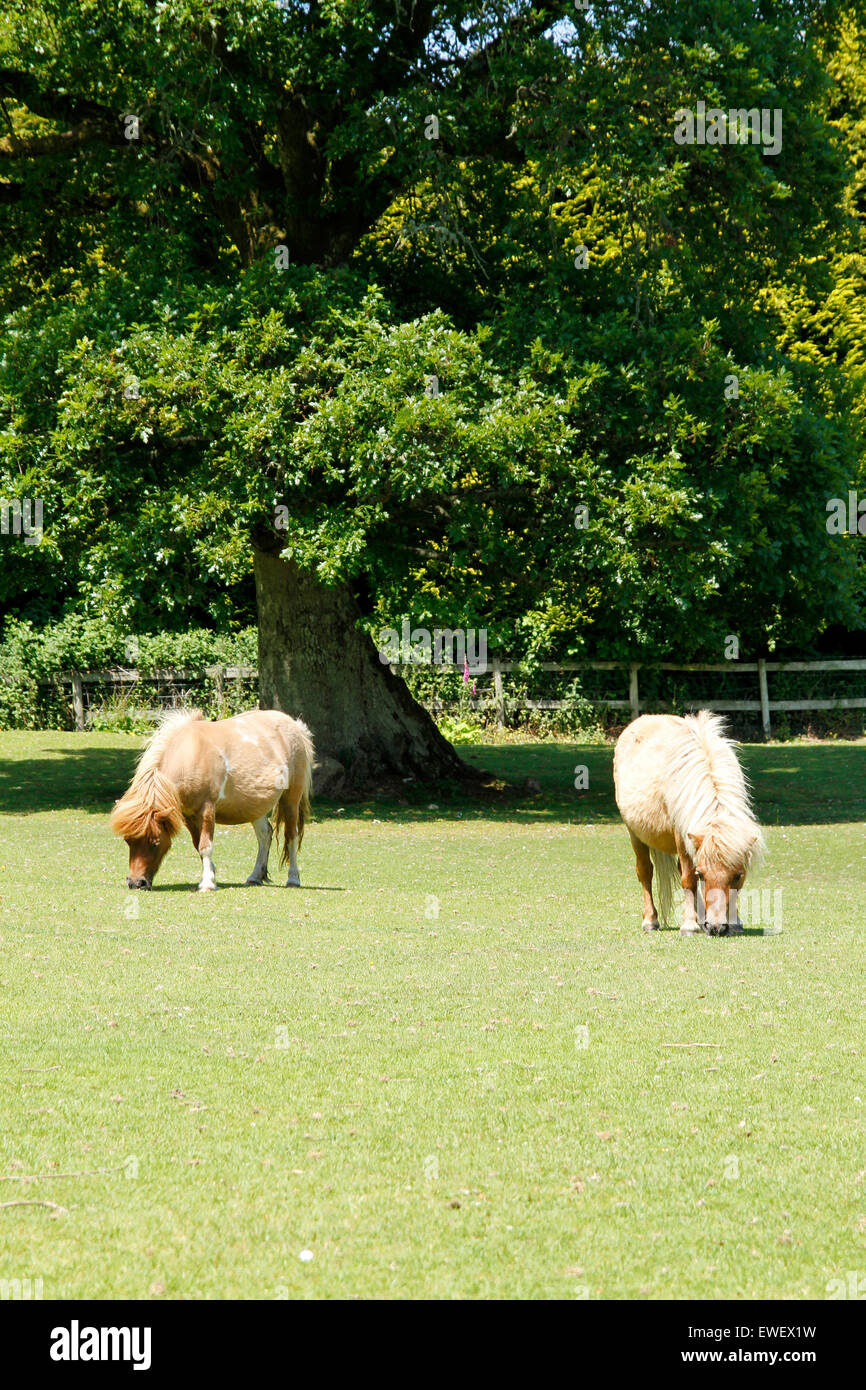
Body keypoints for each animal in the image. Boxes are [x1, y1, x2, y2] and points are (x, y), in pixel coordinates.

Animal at [109, 706, 315, 889]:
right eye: (128, 841)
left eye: (155, 843)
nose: (136, 883)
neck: (189, 755)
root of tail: (295, 726)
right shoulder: (188, 814)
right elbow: (197, 844)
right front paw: (212, 875)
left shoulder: (207, 809)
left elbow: (205, 846)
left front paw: (207, 883)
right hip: (255, 807)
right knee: (265, 835)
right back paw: (255, 877)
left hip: (291, 800)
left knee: (291, 836)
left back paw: (293, 879)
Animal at [614, 717, 761, 934]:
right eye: (702, 875)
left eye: (737, 876)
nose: (716, 927)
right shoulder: (680, 835)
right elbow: (688, 879)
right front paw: (689, 925)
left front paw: (734, 921)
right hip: (635, 834)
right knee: (645, 871)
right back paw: (650, 920)